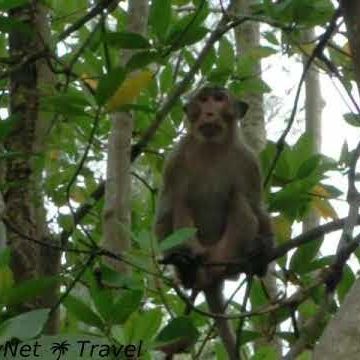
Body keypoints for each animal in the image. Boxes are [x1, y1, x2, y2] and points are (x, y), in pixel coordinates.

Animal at [155, 85, 272, 360]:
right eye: (203, 99)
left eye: (219, 99)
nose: (208, 112)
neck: (211, 148)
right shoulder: (176, 160)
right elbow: (166, 211)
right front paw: (176, 260)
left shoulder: (248, 161)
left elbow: (256, 207)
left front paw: (264, 247)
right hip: (200, 249)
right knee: (181, 202)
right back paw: (186, 266)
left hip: (224, 251)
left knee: (239, 200)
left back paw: (249, 256)